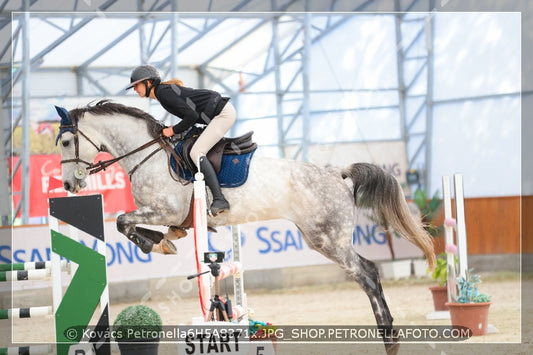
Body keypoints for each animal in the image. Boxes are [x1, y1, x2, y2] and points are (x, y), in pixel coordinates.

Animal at [56, 99, 434, 354]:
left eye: (64, 142)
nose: (69, 186)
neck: (147, 155)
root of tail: (338, 174)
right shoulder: (166, 214)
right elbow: (133, 223)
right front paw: (168, 239)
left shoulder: (163, 210)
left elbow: (124, 221)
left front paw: (157, 243)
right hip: (324, 238)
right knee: (368, 273)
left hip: (327, 239)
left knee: (367, 273)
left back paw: (388, 337)